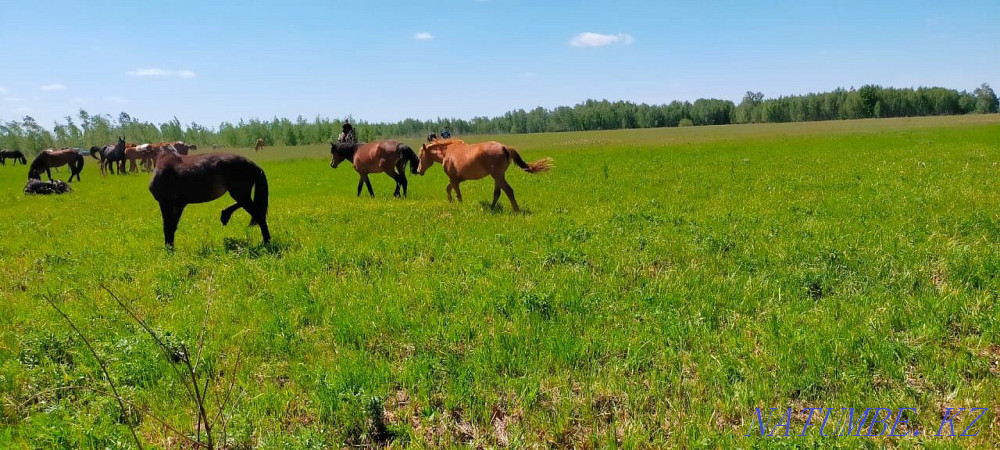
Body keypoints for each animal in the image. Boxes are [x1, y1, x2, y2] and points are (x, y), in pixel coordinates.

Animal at [417, 139, 553, 212]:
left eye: (420, 156)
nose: (418, 171)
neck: (447, 153)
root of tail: (505, 147)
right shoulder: (457, 179)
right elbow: (449, 188)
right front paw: (450, 202)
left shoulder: (454, 179)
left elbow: (457, 194)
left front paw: (459, 206)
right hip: (498, 177)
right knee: (497, 193)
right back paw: (492, 207)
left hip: (498, 176)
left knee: (508, 190)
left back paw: (516, 210)